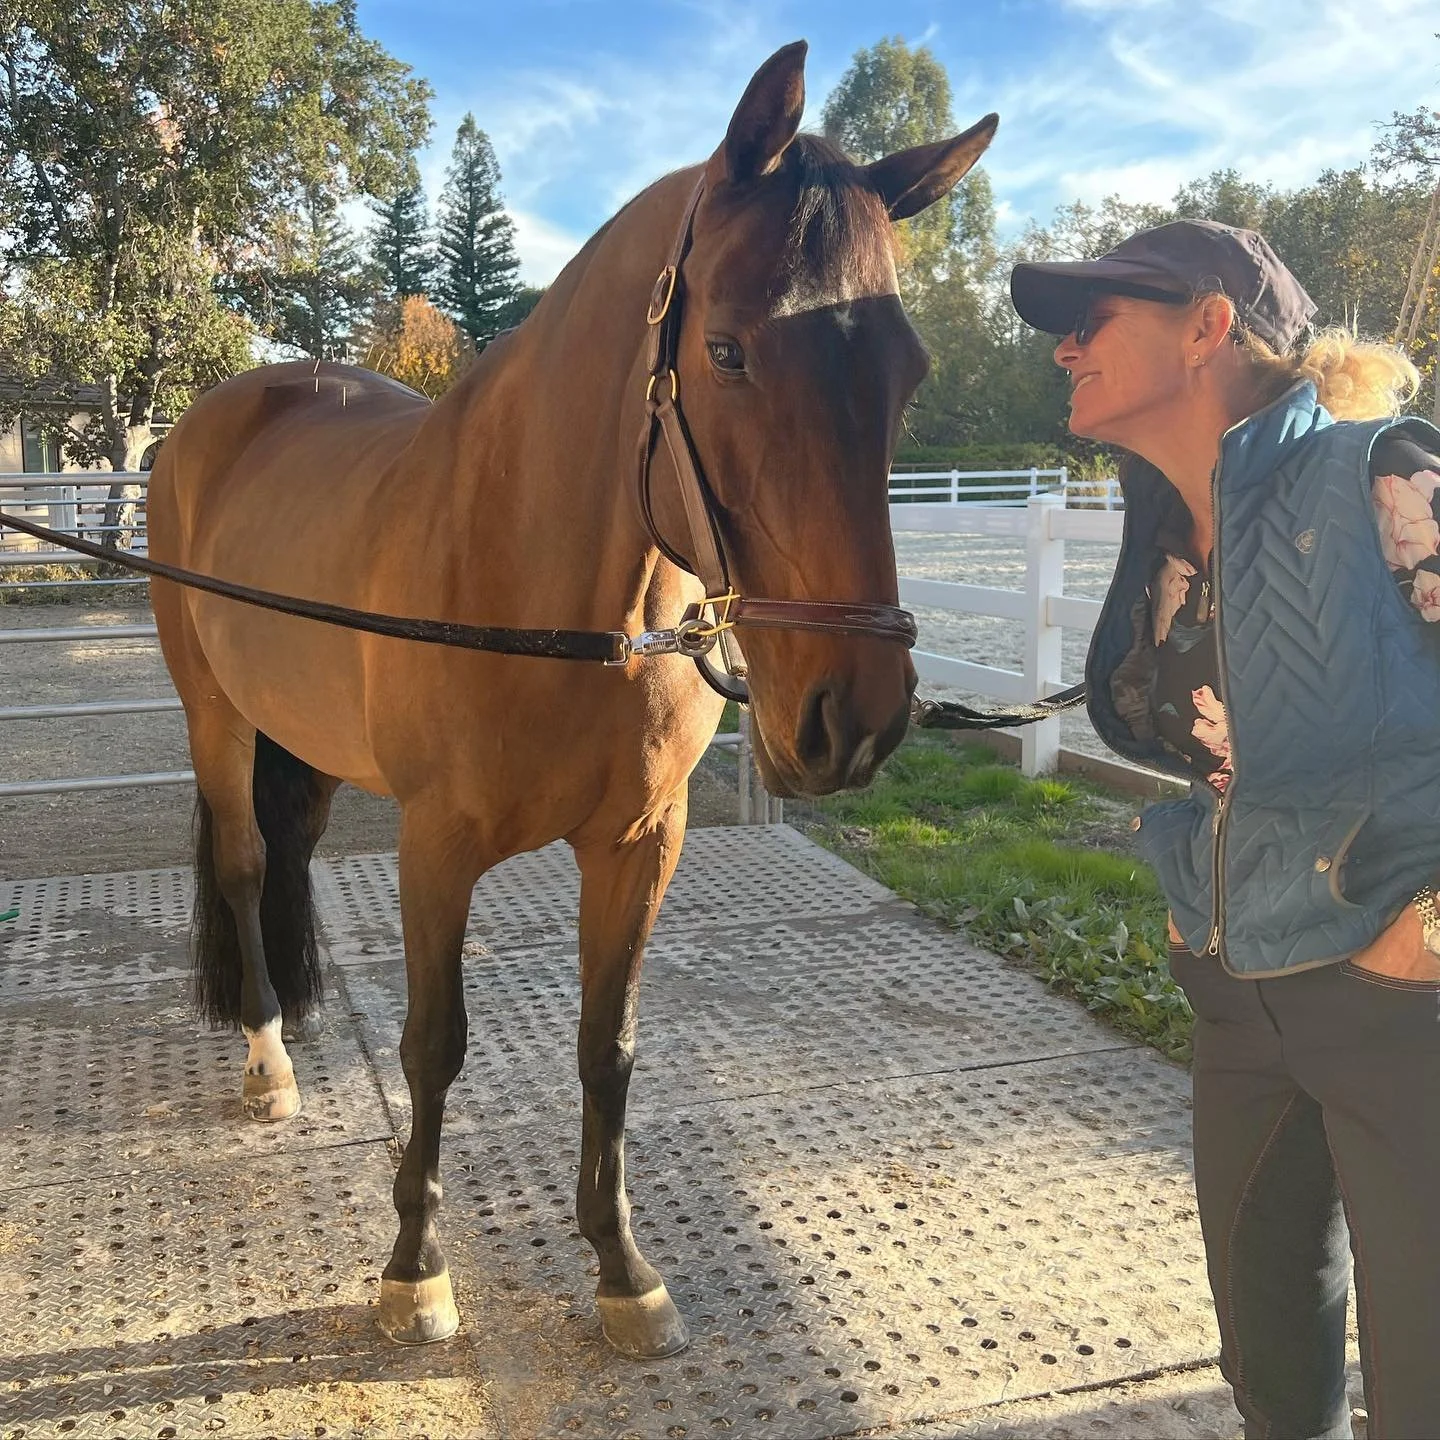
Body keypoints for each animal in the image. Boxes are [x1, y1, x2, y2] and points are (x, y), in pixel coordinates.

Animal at [146, 40, 997, 1355]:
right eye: (730, 351)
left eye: (908, 371)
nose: (853, 717)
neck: (543, 587)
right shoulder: (436, 849)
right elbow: (434, 1048)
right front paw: (414, 1269)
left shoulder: (640, 844)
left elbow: (610, 1047)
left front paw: (621, 1267)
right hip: (215, 715)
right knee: (242, 865)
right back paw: (269, 1061)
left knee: (284, 854)